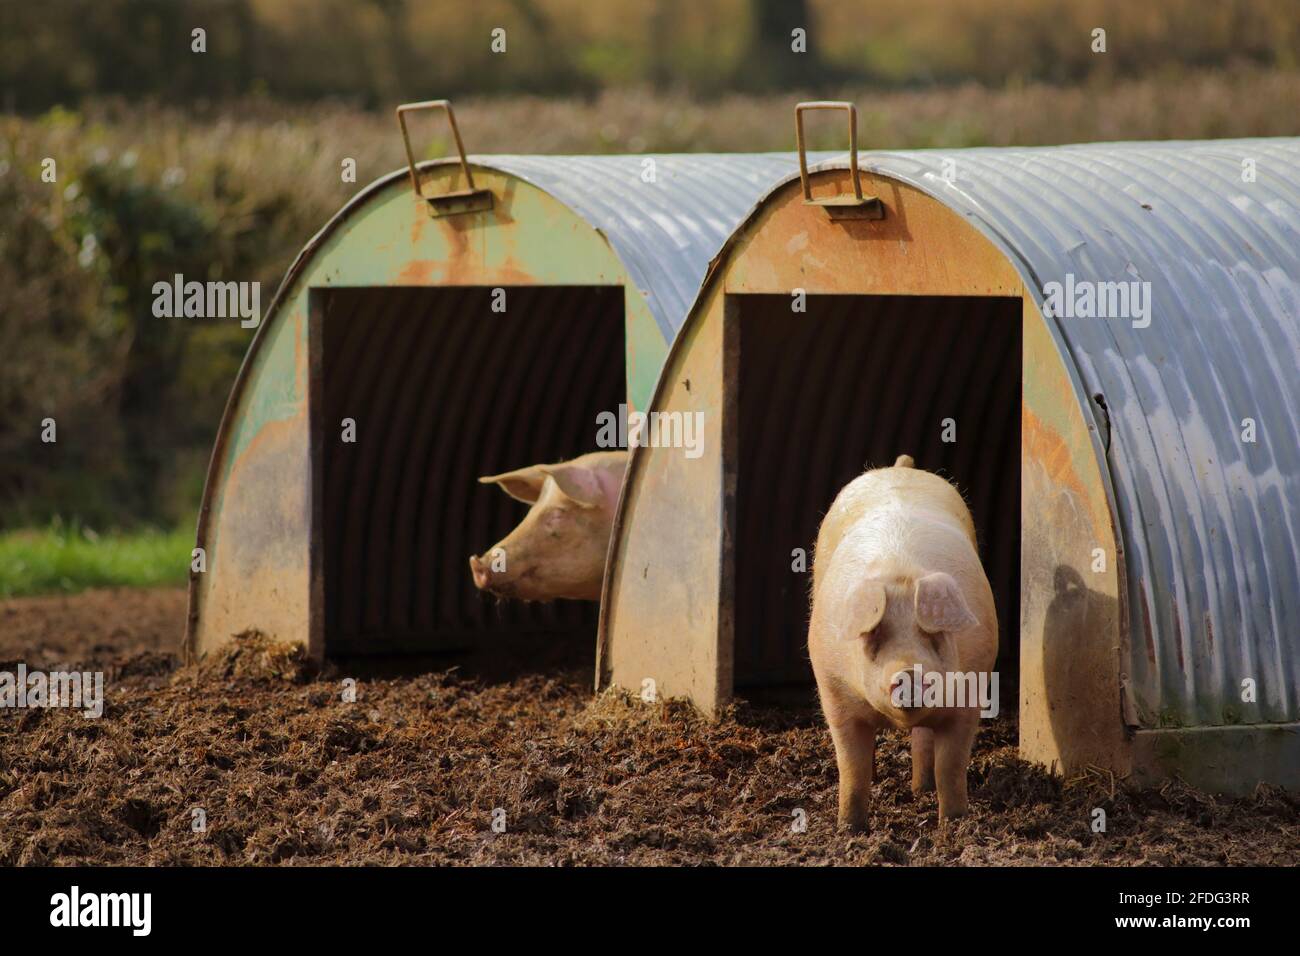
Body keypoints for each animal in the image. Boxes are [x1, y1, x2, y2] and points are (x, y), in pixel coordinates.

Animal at [806, 455, 998, 832]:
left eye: (933, 636)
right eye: (874, 636)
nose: (909, 672)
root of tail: (901, 466)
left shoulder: (971, 691)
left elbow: (951, 766)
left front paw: (953, 823)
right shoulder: (833, 690)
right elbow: (851, 768)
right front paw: (849, 828)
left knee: (924, 743)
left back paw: (921, 789)